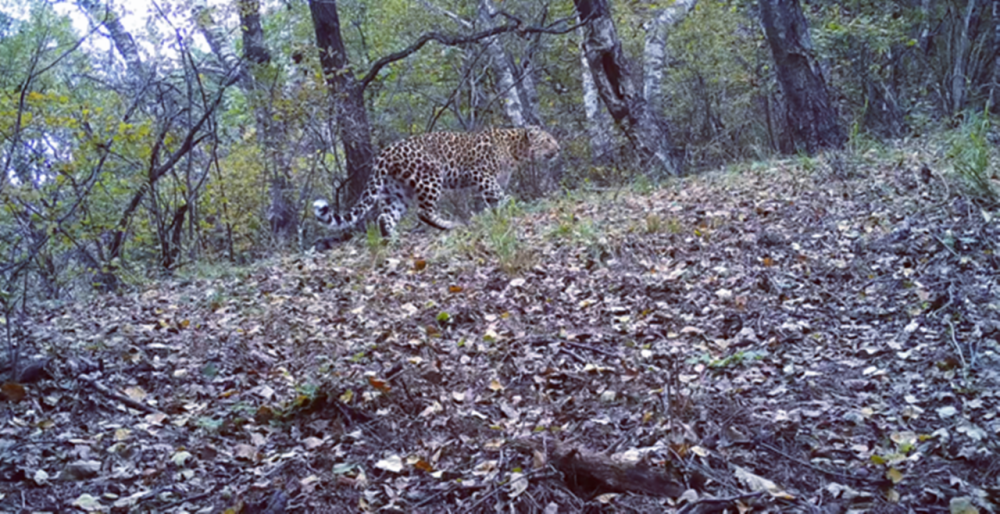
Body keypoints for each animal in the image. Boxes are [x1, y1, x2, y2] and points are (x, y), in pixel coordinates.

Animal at [312, 125, 560, 237]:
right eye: (547, 140)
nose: (558, 149)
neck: (515, 149)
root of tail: (385, 152)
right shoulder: (480, 173)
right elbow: (497, 192)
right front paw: (512, 203)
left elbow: (494, 199)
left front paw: (498, 212)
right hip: (430, 177)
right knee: (424, 211)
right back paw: (450, 225)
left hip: (396, 192)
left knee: (385, 216)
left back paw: (392, 237)